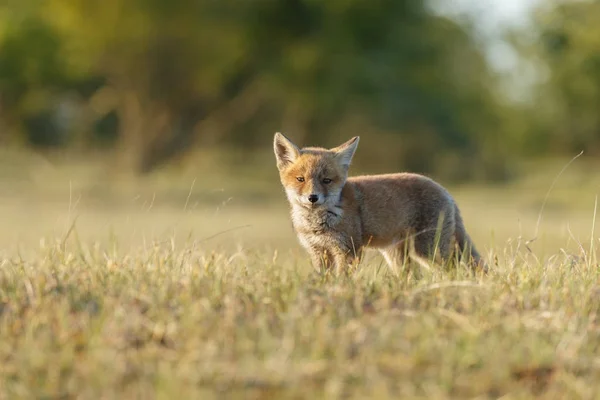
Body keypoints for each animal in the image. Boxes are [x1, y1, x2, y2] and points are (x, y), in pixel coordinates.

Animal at [274, 132, 486, 276]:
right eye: (300, 179)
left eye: (326, 180)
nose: (313, 197)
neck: (317, 224)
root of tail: (444, 190)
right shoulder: (319, 252)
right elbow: (323, 279)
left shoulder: (348, 250)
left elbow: (341, 279)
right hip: (398, 256)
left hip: (430, 251)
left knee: (453, 271)